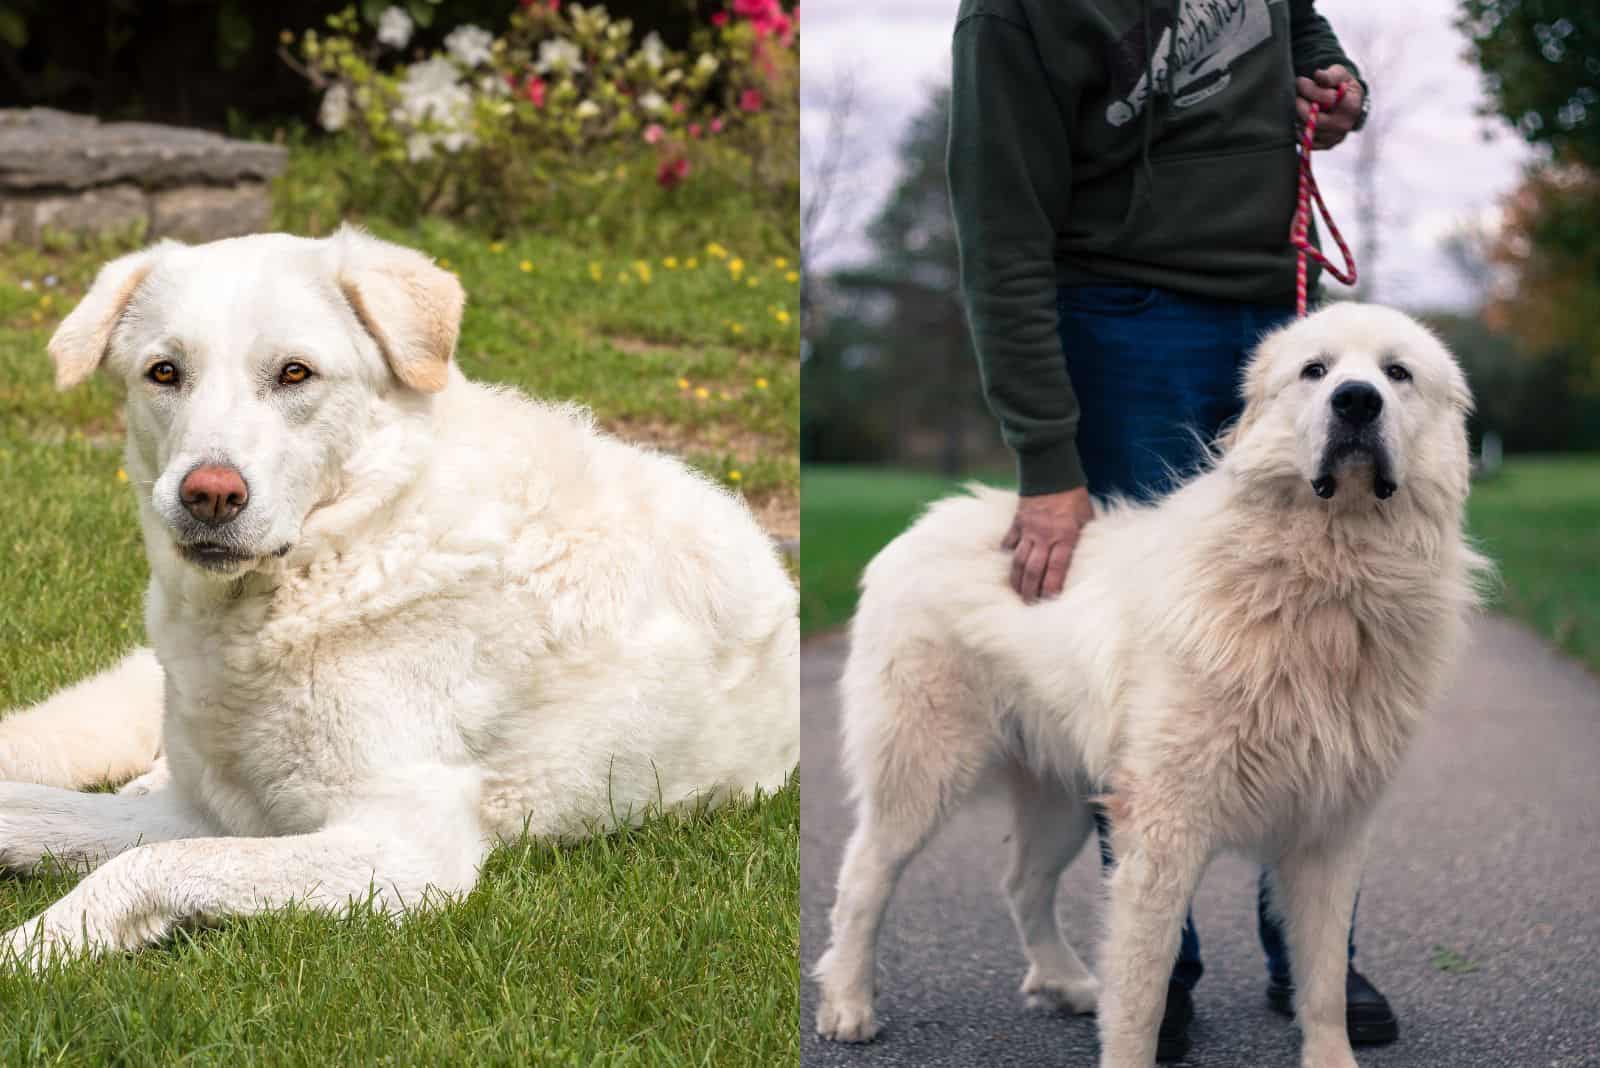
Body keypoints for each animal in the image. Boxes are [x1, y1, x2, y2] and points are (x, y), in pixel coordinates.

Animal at [0, 225, 800, 965]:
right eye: (164, 373)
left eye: (295, 373)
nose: (210, 496)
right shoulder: (211, 811)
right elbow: (29, 814)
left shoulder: (400, 849)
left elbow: (147, 864)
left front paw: (33, 947)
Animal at [812, 303, 1484, 1068]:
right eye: (1316, 371)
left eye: (1397, 374)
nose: (1357, 402)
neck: (1325, 581)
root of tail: (928, 520)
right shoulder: (1165, 829)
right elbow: (1143, 992)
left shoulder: (1329, 831)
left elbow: (1321, 983)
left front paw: (1331, 1057)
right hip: (923, 771)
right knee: (864, 879)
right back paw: (848, 1003)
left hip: (1067, 795)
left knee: (1022, 885)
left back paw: (1066, 982)